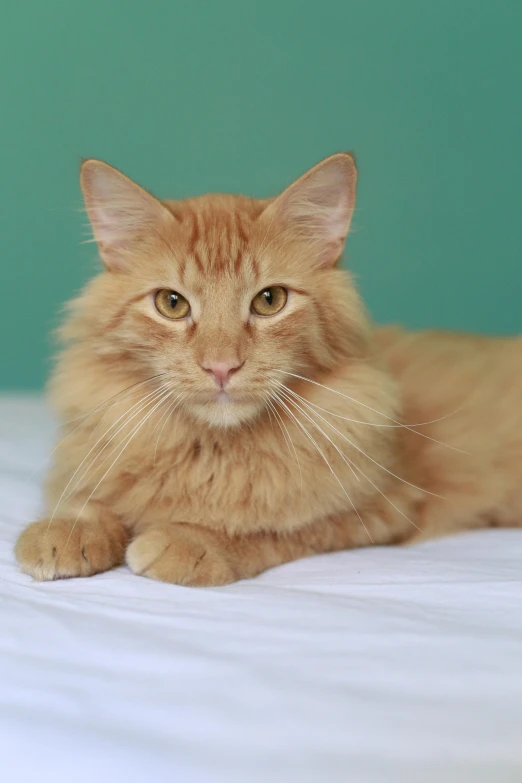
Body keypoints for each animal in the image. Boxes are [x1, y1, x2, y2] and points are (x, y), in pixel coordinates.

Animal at [15, 153, 520, 584]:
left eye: (269, 301)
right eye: (172, 304)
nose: (221, 367)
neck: (212, 452)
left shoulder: (385, 509)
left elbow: (272, 529)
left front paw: (189, 541)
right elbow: (89, 500)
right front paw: (65, 531)